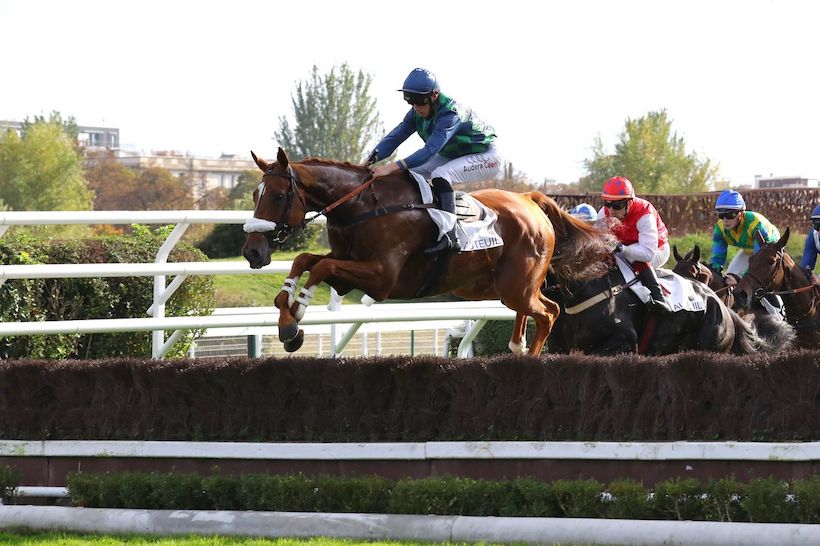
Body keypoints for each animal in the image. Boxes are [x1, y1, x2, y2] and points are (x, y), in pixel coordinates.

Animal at [242, 148, 604, 355]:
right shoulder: (347, 266)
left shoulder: (382, 279)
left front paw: (295, 320)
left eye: (277, 196)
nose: (252, 252)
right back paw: (518, 346)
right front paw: (286, 314)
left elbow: (318, 268)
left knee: (549, 313)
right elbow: (305, 261)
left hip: (516, 285)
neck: (361, 207)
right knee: (540, 310)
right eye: (255, 194)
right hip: (505, 287)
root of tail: (530, 199)